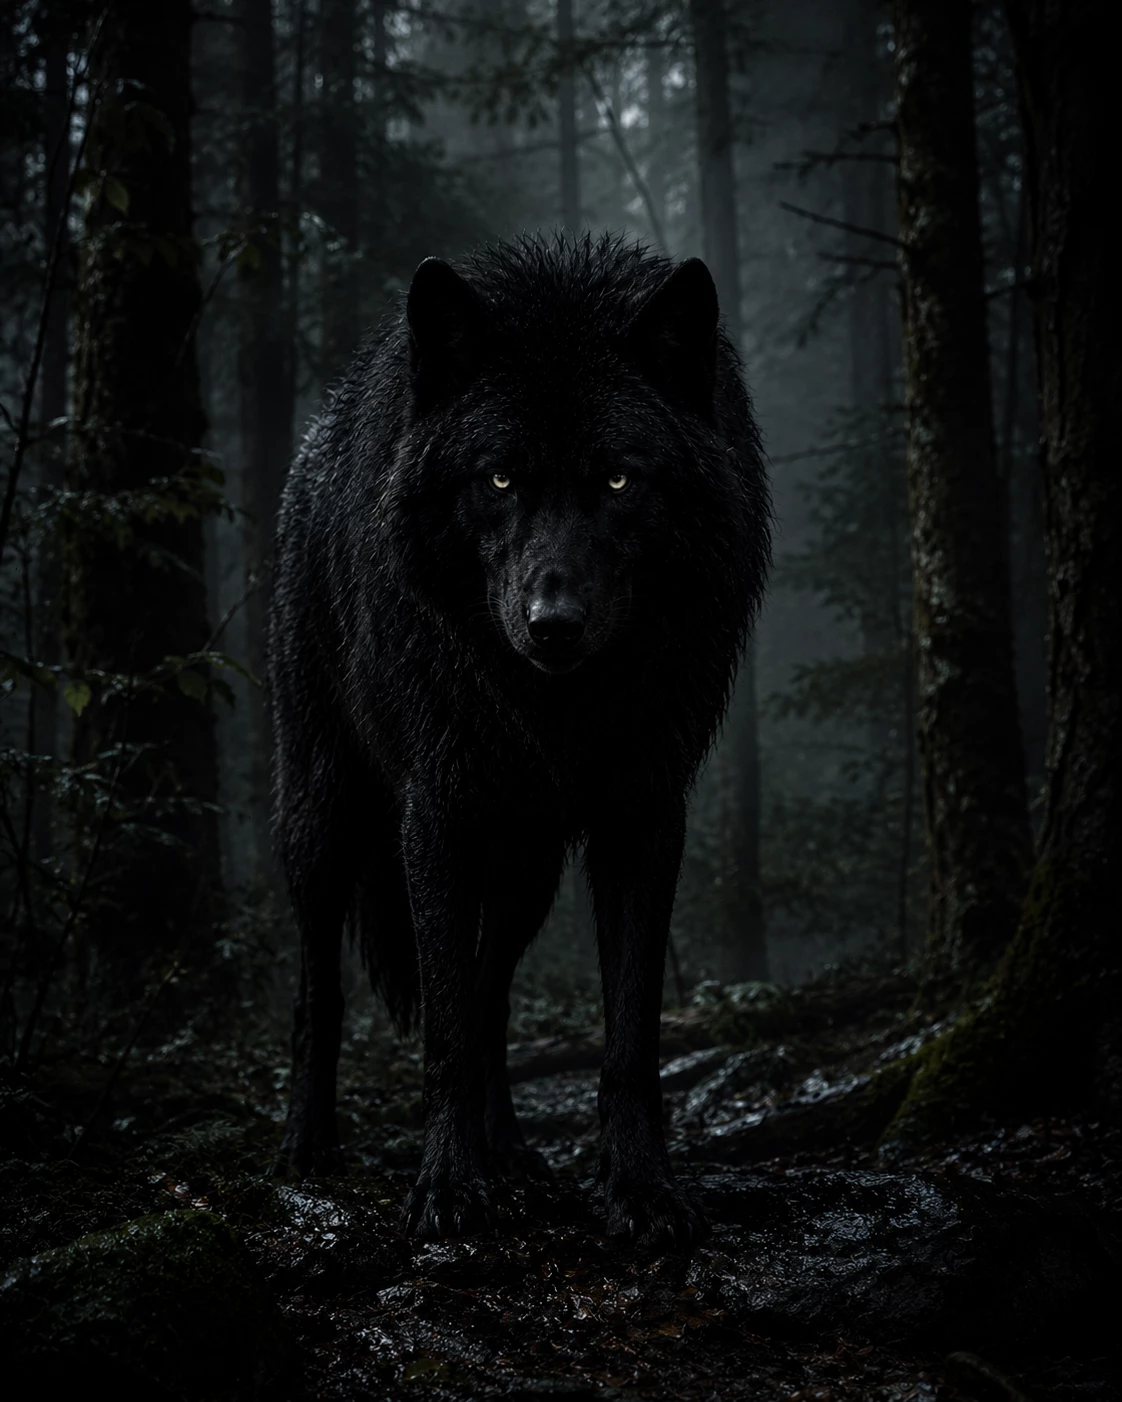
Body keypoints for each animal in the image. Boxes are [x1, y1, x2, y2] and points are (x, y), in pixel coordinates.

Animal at [270, 234, 771, 1245]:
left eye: (618, 478)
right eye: (499, 478)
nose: (554, 625)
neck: (560, 709)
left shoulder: (642, 817)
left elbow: (626, 1035)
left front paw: (641, 1190)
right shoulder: (436, 815)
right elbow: (443, 1029)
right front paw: (449, 1187)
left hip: (530, 865)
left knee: (490, 985)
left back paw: (511, 1151)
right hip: (325, 816)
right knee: (321, 989)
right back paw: (310, 1144)